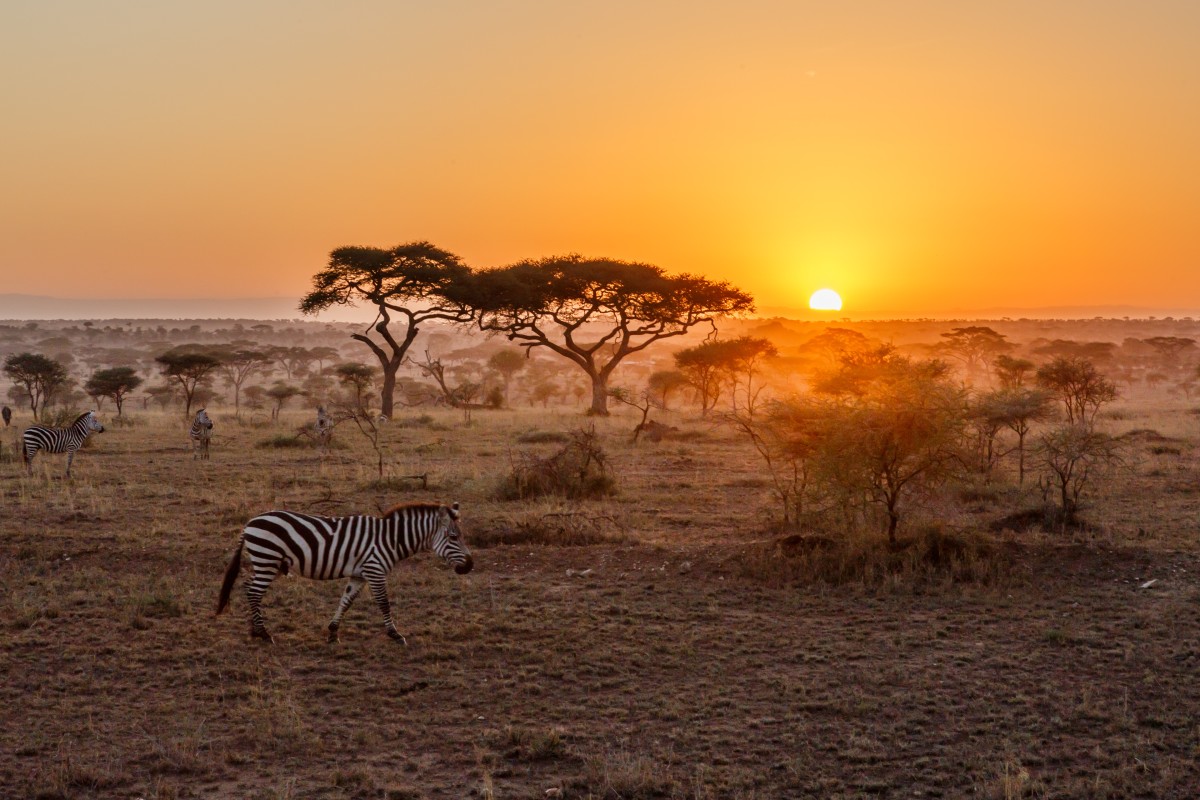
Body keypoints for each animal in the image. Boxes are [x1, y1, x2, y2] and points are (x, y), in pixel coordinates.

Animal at [218, 501, 470, 642]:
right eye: (453, 537)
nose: (470, 566)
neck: (390, 539)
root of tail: (250, 522)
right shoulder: (375, 570)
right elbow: (384, 603)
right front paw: (395, 634)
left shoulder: (359, 574)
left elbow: (346, 601)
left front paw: (332, 631)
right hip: (267, 559)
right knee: (254, 592)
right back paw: (263, 633)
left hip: (267, 562)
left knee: (249, 589)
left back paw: (254, 630)